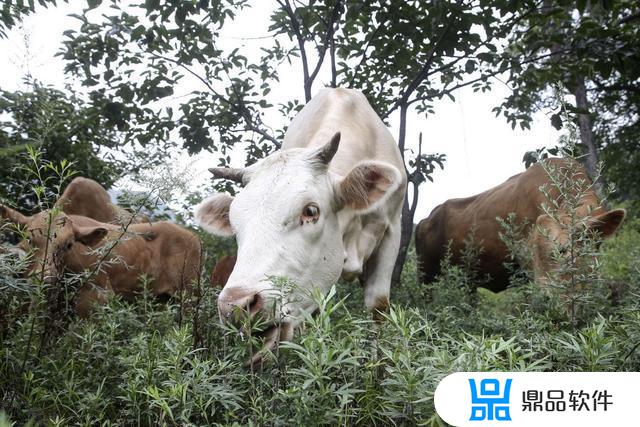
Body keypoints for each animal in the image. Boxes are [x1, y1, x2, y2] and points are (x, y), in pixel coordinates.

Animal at [0, 204, 200, 318]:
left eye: (68, 244)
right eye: (29, 239)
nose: (46, 277)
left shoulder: (96, 297)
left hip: (189, 296)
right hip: (161, 299)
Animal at [195, 88, 404, 364]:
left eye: (311, 211)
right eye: (234, 223)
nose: (235, 306)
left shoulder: (392, 229)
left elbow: (378, 305)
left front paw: (378, 367)